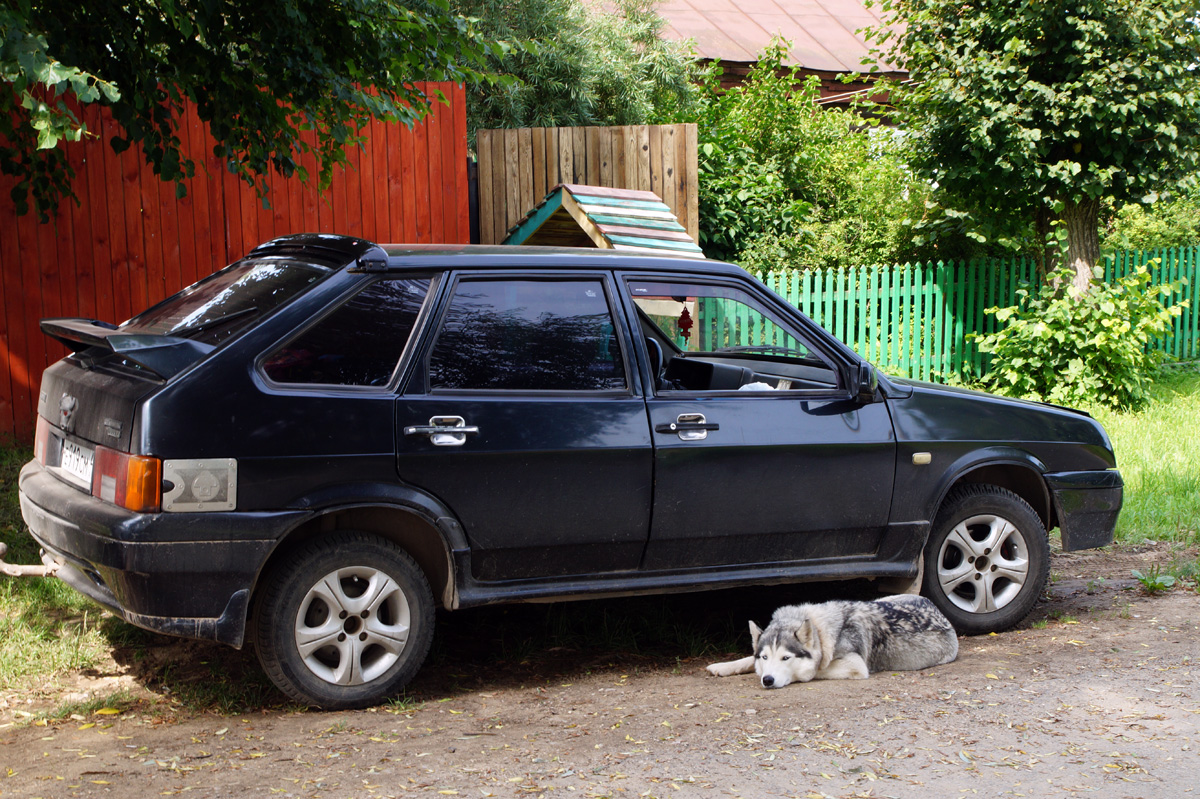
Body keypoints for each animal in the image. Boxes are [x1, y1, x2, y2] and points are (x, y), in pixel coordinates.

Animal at [705, 590, 960, 686]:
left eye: (786, 658)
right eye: (765, 657)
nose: (767, 680)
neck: (820, 631)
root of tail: (937, 608)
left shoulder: (855, 665)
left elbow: (813, 670)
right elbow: (747, 659)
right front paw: (722, 666)